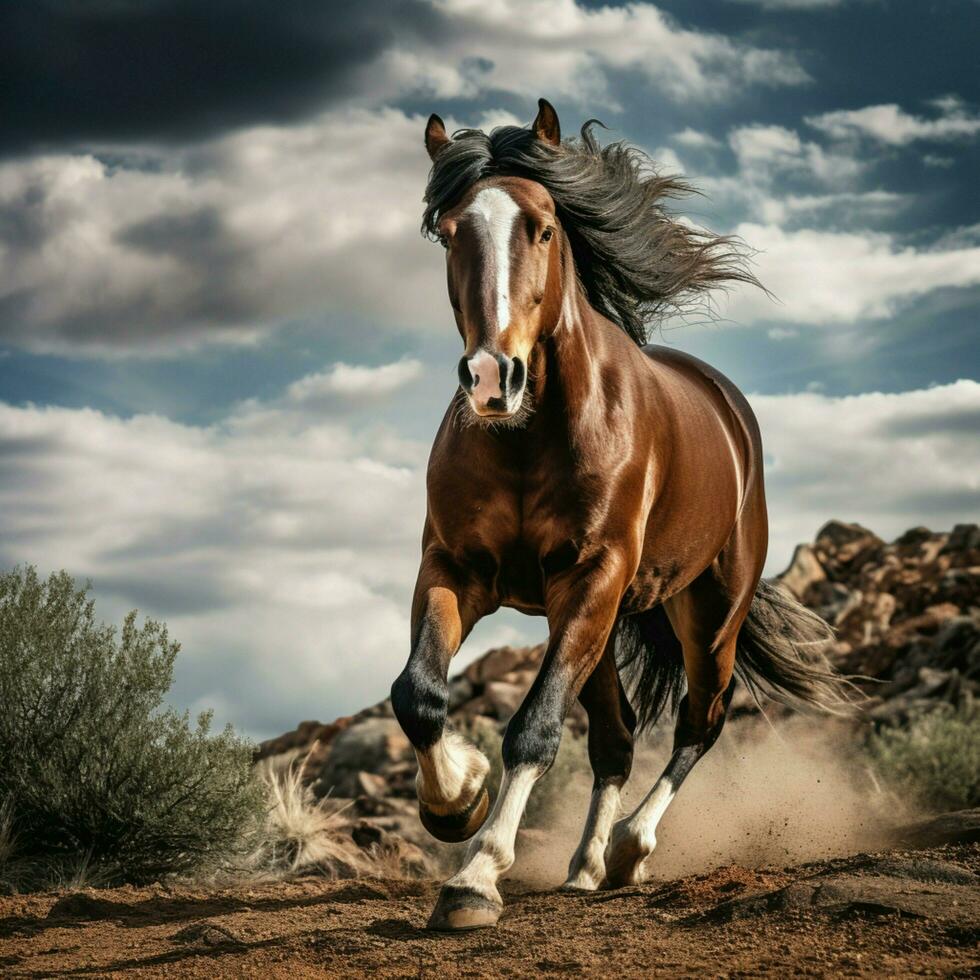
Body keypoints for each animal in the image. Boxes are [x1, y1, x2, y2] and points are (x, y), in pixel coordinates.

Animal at [390, 99, 848, 936]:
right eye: (449, 231)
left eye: (542, 227)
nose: (492, 380)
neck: (529, 435)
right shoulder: (455, 569)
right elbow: (420, 694)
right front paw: (456, 800)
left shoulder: (593, 574)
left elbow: (534, 729)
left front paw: (475, 877)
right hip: (595, 623)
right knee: (617, 736)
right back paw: (584, 867)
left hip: (706, 611)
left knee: (701, 719)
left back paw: (632, 848)